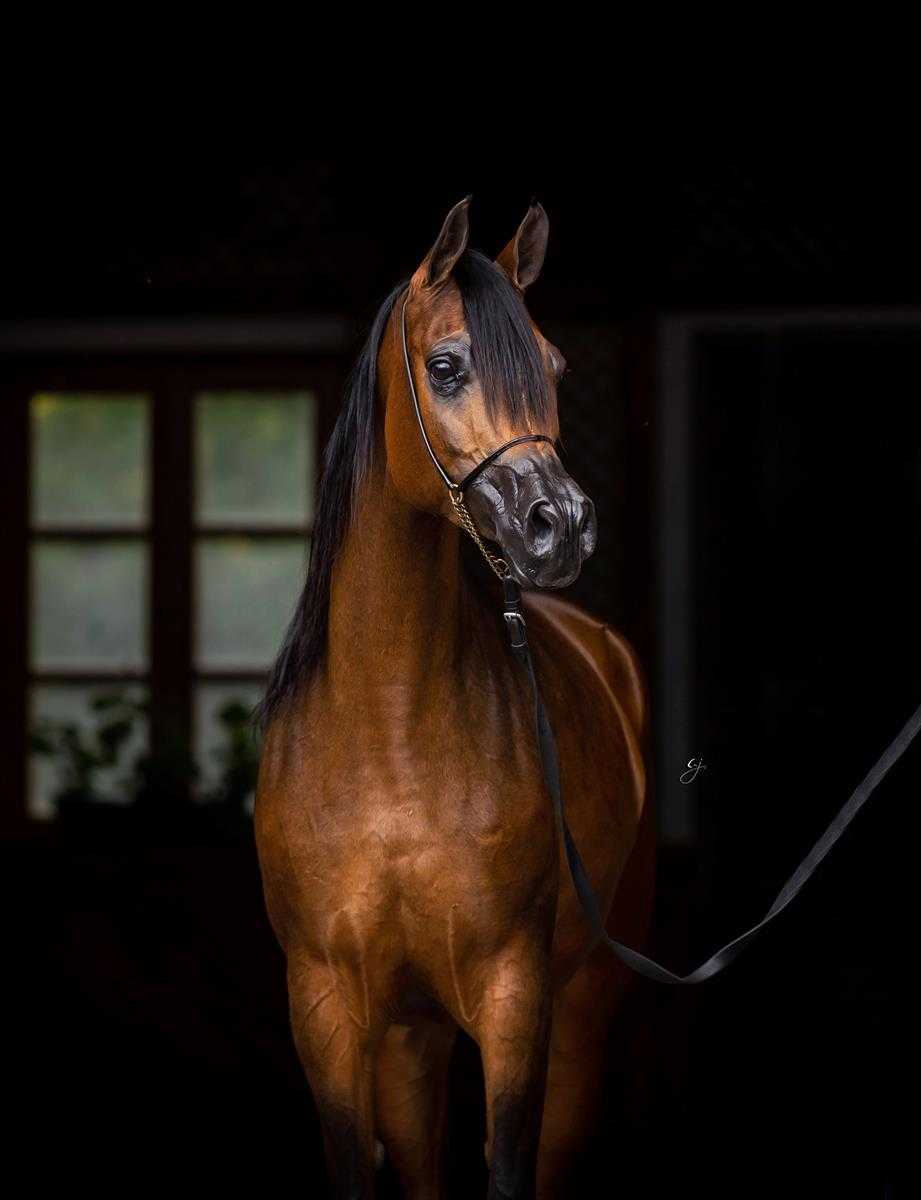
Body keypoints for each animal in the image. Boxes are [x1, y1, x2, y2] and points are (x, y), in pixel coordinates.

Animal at [253, 197, 656, 1199]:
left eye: (555, 365)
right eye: (445, 365)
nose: (561, 526)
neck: (388, 731)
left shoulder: (515, 1002)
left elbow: (508, 1169)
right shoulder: (328, 1011)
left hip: (583, 1005)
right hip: (412, 1036)